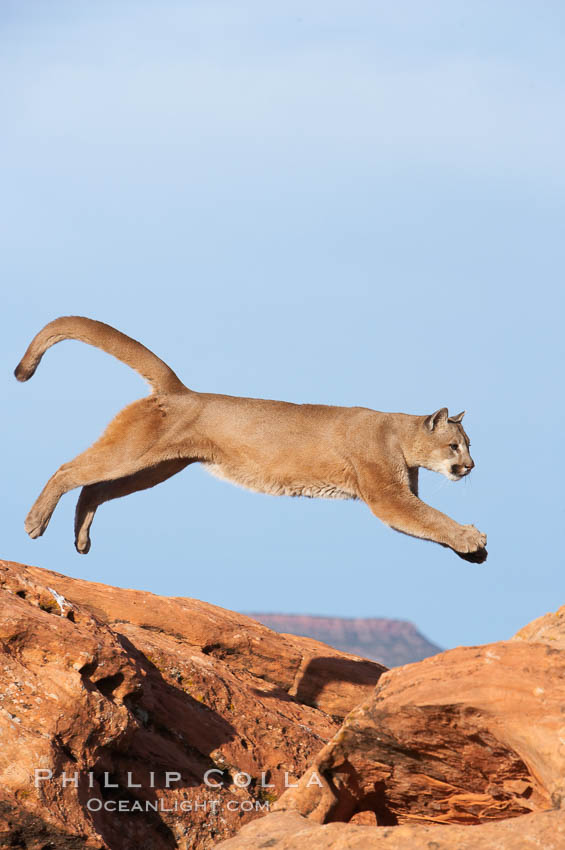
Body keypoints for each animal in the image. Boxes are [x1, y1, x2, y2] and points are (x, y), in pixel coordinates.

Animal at [15, 314, 486, 560]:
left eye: (469, 446)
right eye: (454, 445)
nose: (470, 466)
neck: (401, 437)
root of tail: (180, 390)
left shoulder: (398, 495)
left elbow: (425, 523)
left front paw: (470, 547)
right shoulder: (388, 495)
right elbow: (430, 518)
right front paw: (471, 538)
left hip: (155, 467)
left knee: (93, 488)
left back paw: (81, 539)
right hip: (135, 454)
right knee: (68, 470)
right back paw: (34, 522)